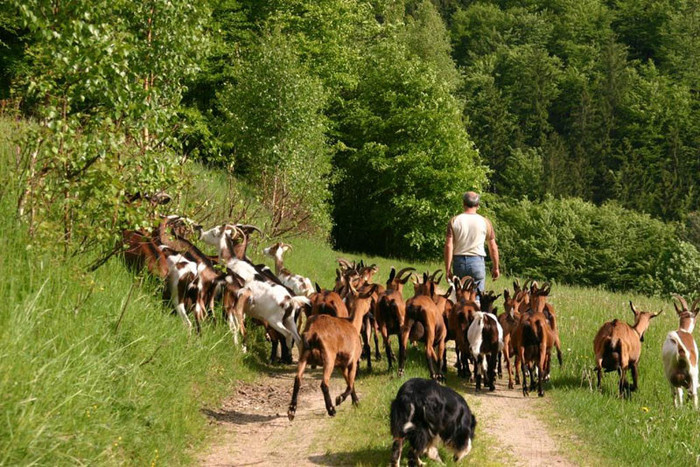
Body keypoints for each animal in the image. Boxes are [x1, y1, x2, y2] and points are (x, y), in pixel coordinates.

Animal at [288, 284, 378, 422]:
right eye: (369, 301)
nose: (372, 315)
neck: (352, 325)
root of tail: (311, 333)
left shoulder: (342, 365)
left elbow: (349, 382)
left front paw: (356, 401)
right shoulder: (352, 362)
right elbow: (350, 383)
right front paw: (340, 399)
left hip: (303, 357)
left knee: (298, 379)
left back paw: (292, 411)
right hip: (328, 359)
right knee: (324, 384)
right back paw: (331, 409)